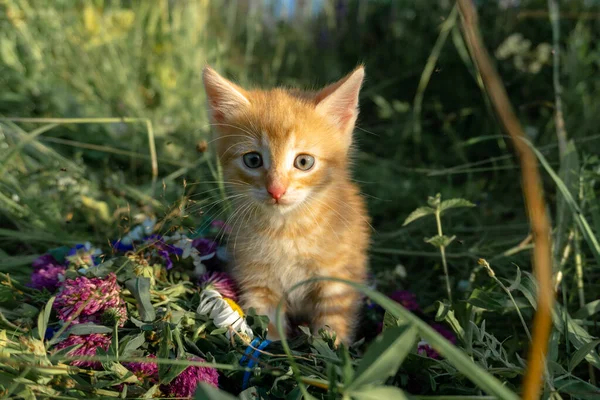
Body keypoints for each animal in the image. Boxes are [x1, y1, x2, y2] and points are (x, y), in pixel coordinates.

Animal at [204, 65, 368, 344]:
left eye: (303, 162)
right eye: (252, 160)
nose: (276, 190)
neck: (287, 229)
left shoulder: (338, 281)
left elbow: (333, 326)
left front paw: (331, 349)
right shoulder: (257, 280)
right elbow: (266, 328)